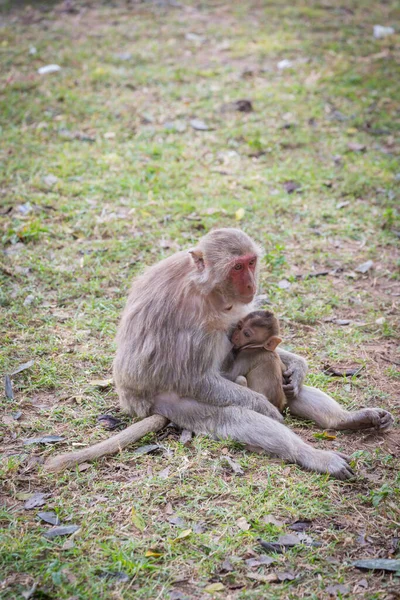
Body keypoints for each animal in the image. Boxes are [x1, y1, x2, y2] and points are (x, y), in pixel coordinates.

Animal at [44, 227, 394, 476]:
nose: (251, 283)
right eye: (237, 267)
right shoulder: (191, 318)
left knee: (283, 384)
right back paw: (314, 455)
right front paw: (264, 407)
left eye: (251, 262)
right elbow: (195, 379)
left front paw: (298, 365)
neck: (208, 288)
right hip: (171, 402)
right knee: (235, 414)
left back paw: (348, 420)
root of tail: (135, 402)